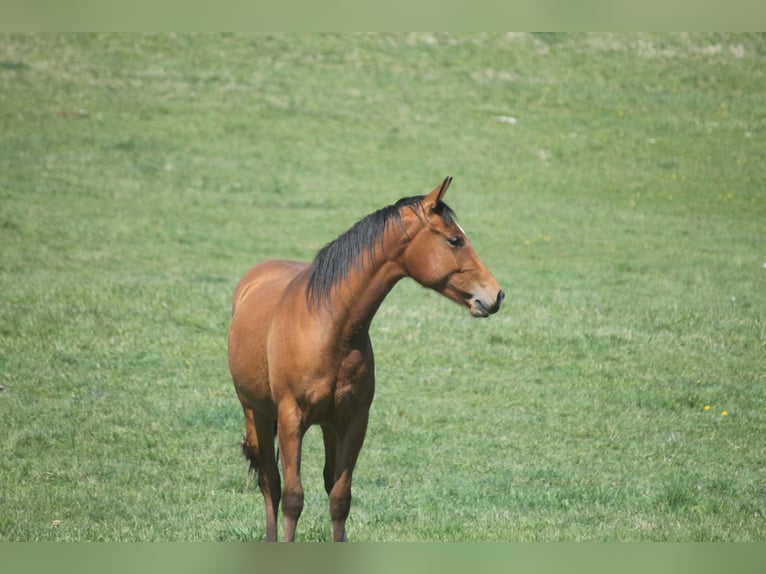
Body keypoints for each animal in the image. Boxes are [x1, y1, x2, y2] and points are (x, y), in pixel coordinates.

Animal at [227, 177, 504, 541]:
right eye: (455, 239)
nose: (496, 294)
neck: (330, 326)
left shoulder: (354, 421)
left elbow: (339, 498)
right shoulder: (291, 421)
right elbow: (293, 498)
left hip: (327, 425)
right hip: (256, 412)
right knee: (270, 482)